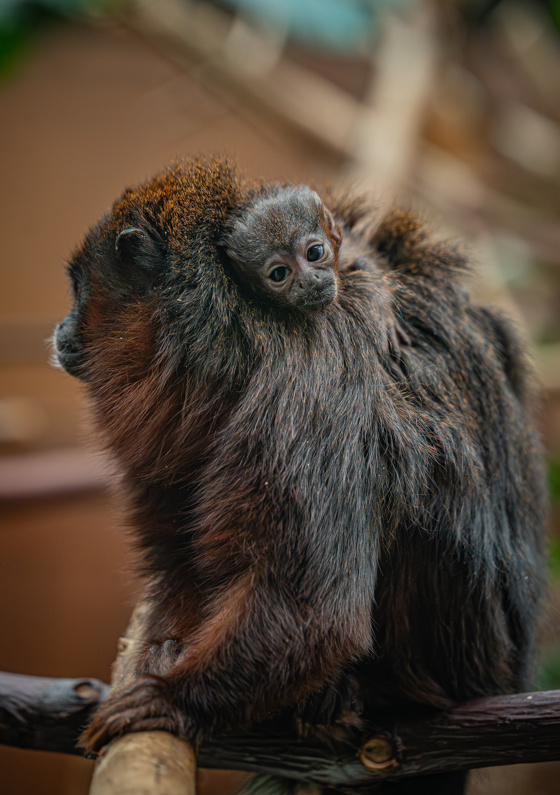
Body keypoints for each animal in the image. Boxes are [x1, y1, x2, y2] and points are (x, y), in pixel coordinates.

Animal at [53, 157, 546, 794]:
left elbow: (313, 607)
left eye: (80, 293)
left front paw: (174, 701)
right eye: (278, 271)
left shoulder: (311, 375)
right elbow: (181, 557)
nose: (63, 329)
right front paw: (164, 645)